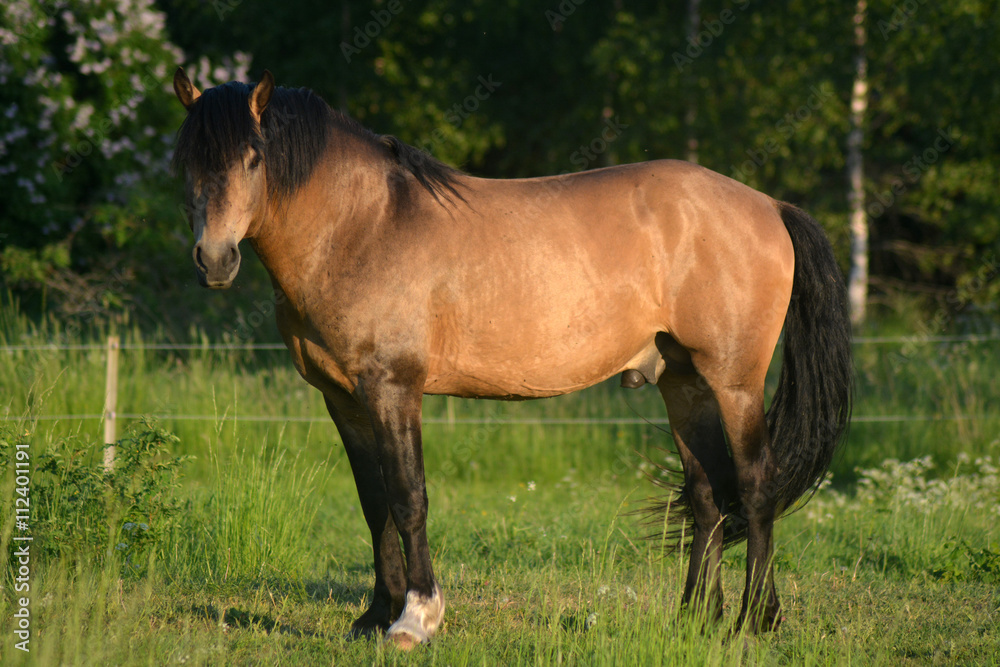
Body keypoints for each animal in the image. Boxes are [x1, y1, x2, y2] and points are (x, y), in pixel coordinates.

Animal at [171, 68, 852, 649]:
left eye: (253, 158)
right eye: (186, 162)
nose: (214, 260)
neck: (363, 226)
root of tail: (768, 206)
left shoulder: (392, 388)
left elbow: (408, 497)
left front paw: (415, 619)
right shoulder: (343, 398)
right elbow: (374, 504)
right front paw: (373, 615)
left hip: (734, 382)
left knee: (756, 488)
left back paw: (755, 621)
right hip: (682, 383)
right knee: (707, 495)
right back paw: (693, 620)